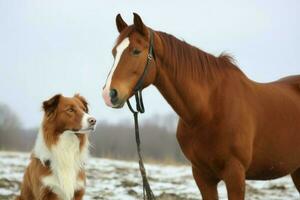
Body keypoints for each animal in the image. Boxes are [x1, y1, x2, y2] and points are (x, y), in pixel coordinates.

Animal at [102, 13, 300, 199]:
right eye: (113, 52)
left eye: (136, 51)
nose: (109, 94)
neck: (208, 110)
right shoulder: (202, 175)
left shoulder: (235, 175)